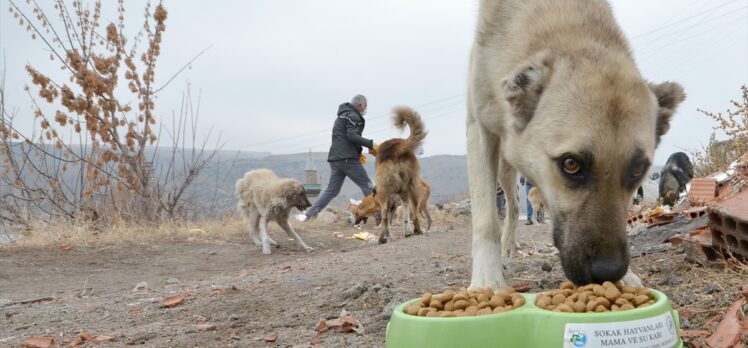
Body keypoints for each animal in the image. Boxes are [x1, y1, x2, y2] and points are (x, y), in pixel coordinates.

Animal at [374, 107, 426, 243]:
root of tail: (396, 148)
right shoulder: (406, 192)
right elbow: (407, 216)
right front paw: (408, 232)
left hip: (384, 192)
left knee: (384, 215)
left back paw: (382, 238)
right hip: (413, 187)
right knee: (414, 212)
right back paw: (417, 230)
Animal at [468, 0, 684, 288]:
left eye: (638, 169)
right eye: (571, 164)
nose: (608, 272)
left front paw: (627, 277)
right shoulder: (478, 129)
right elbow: (485, 221)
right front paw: (487, 282)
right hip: (504, 169)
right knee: (512, 207)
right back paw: (506, 249)